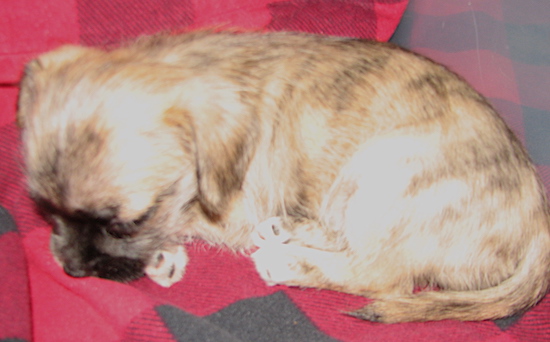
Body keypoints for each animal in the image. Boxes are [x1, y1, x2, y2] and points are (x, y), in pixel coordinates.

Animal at [18, 30, 550, 322]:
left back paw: (286, 261)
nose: (71, 270)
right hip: (353, 187)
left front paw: (160, 250)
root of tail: (540, 221)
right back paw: (287, 229)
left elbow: (185, 216)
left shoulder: (230, 205)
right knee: (347, 240)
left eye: (128, 221)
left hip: (385, 169)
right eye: (43, 208)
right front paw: (162, 255)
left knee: (384, 276)